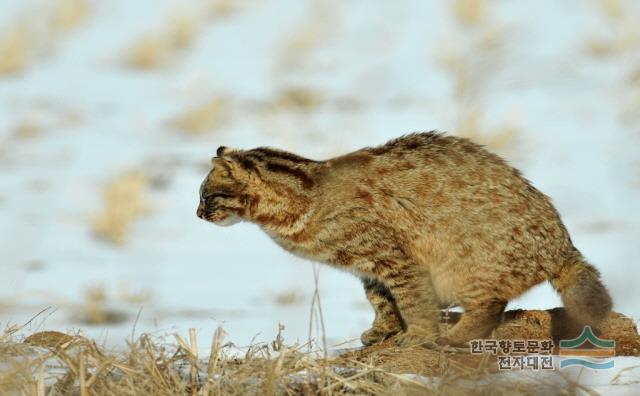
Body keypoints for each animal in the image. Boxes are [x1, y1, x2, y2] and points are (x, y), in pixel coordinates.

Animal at [194, 132, 608, 346]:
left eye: (206, 196)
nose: (197, 215)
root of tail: (563, 247)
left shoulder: (395, 258)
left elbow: (411, 301)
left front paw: (418, 334)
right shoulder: (370, 268)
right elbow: (381, 301)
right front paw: (382, 330)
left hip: (465, 264)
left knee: (490, 304)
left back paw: (455, 335)